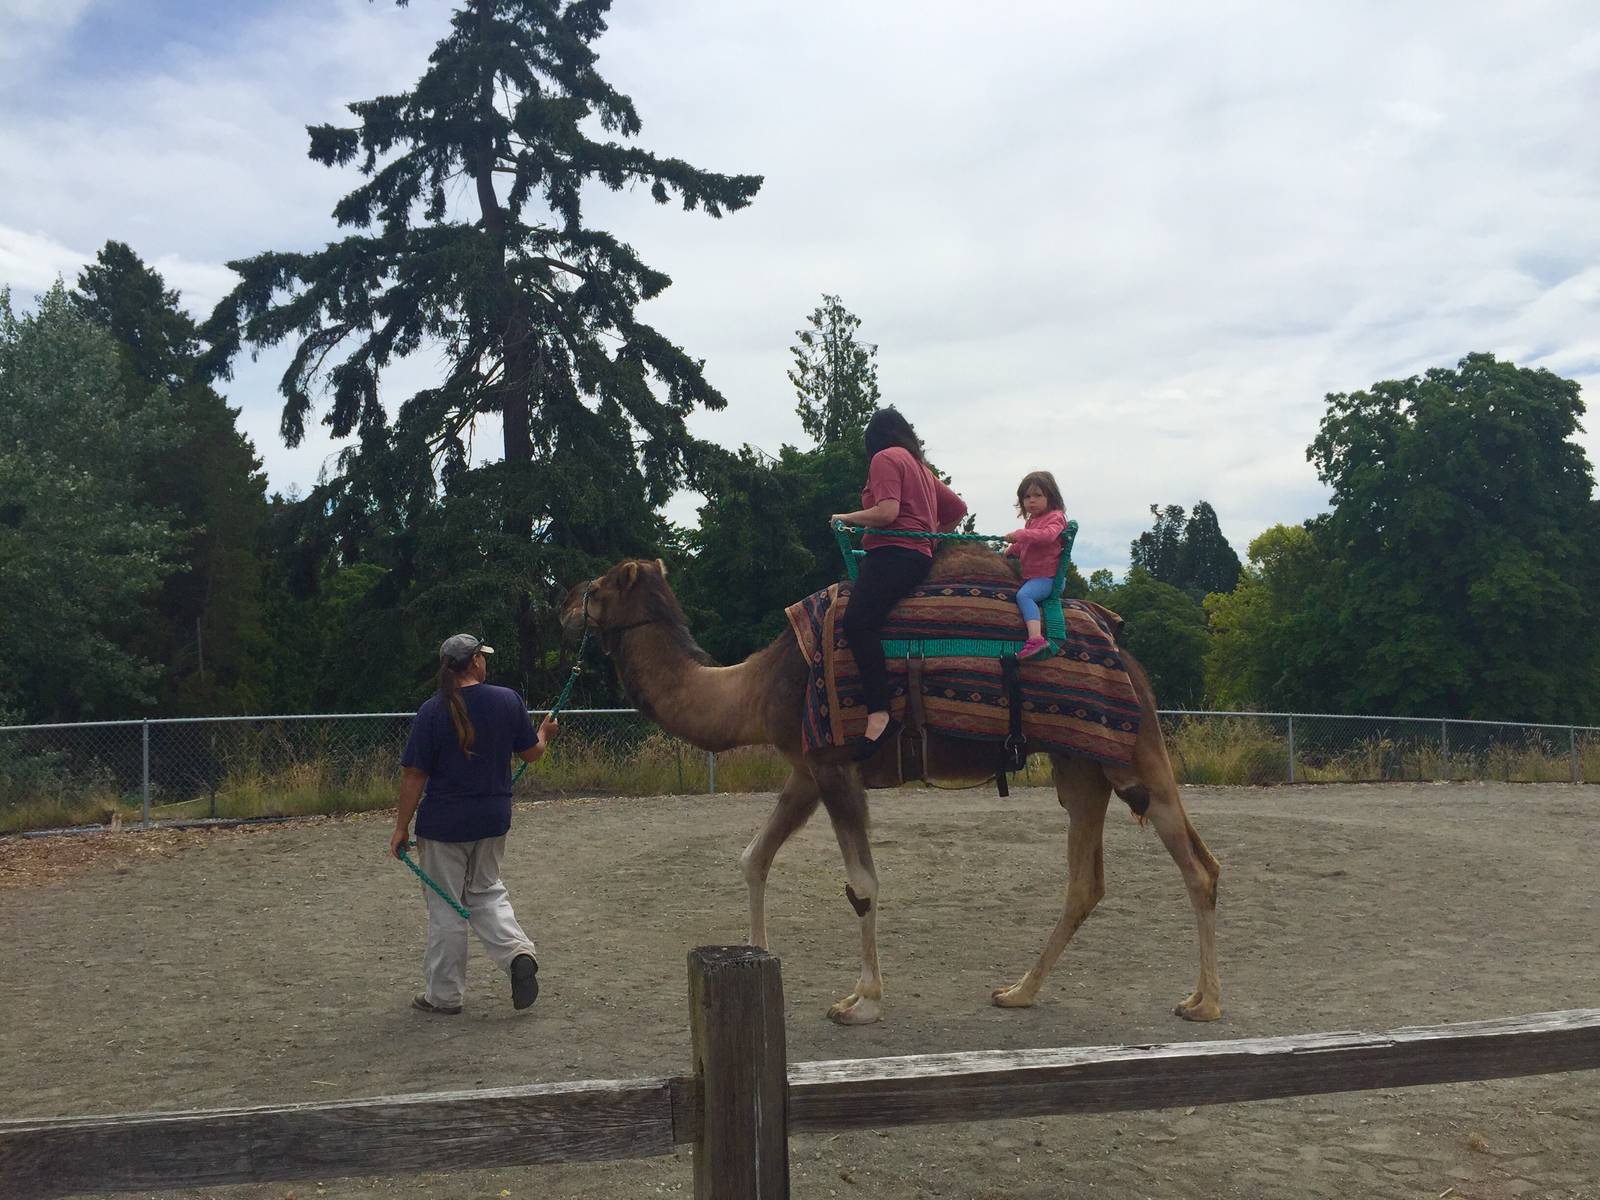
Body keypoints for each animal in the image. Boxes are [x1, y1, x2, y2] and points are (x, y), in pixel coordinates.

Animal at [559, 544, 1221, 1026]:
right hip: (1081, 766)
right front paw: (761, 955)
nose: (562, 604)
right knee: (1092, 882)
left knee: (1196, 866)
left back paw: (1204, 1003)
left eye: (598, 586)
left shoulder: (834, 766)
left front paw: (862, 1002)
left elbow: (862, 885)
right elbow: (754, 857)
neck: (755, 686)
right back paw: (1018, 992)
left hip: (1135, 750)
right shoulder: (807, 769)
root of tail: (1128, 659)